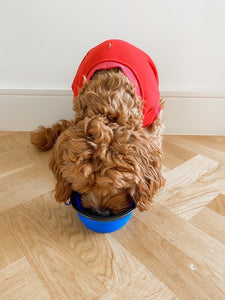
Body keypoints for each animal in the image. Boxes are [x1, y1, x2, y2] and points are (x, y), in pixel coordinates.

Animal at [30, 39, 165, 216]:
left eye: (116, 186)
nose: (101, 213)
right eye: (83, 186)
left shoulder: (154, 115)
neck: (108, 106)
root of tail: (115, 40)